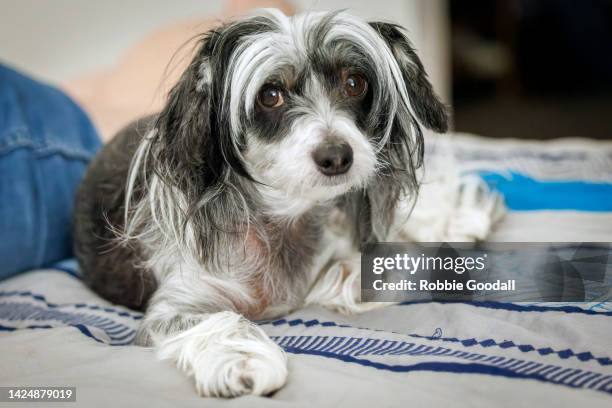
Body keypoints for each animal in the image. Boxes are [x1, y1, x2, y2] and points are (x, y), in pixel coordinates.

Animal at [71, 8, 502, 398]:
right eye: (270, 95)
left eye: (355, 83)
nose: (337, 157)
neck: (282, 221)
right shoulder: (173, 308)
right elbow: (224, 320)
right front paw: (243, 361)